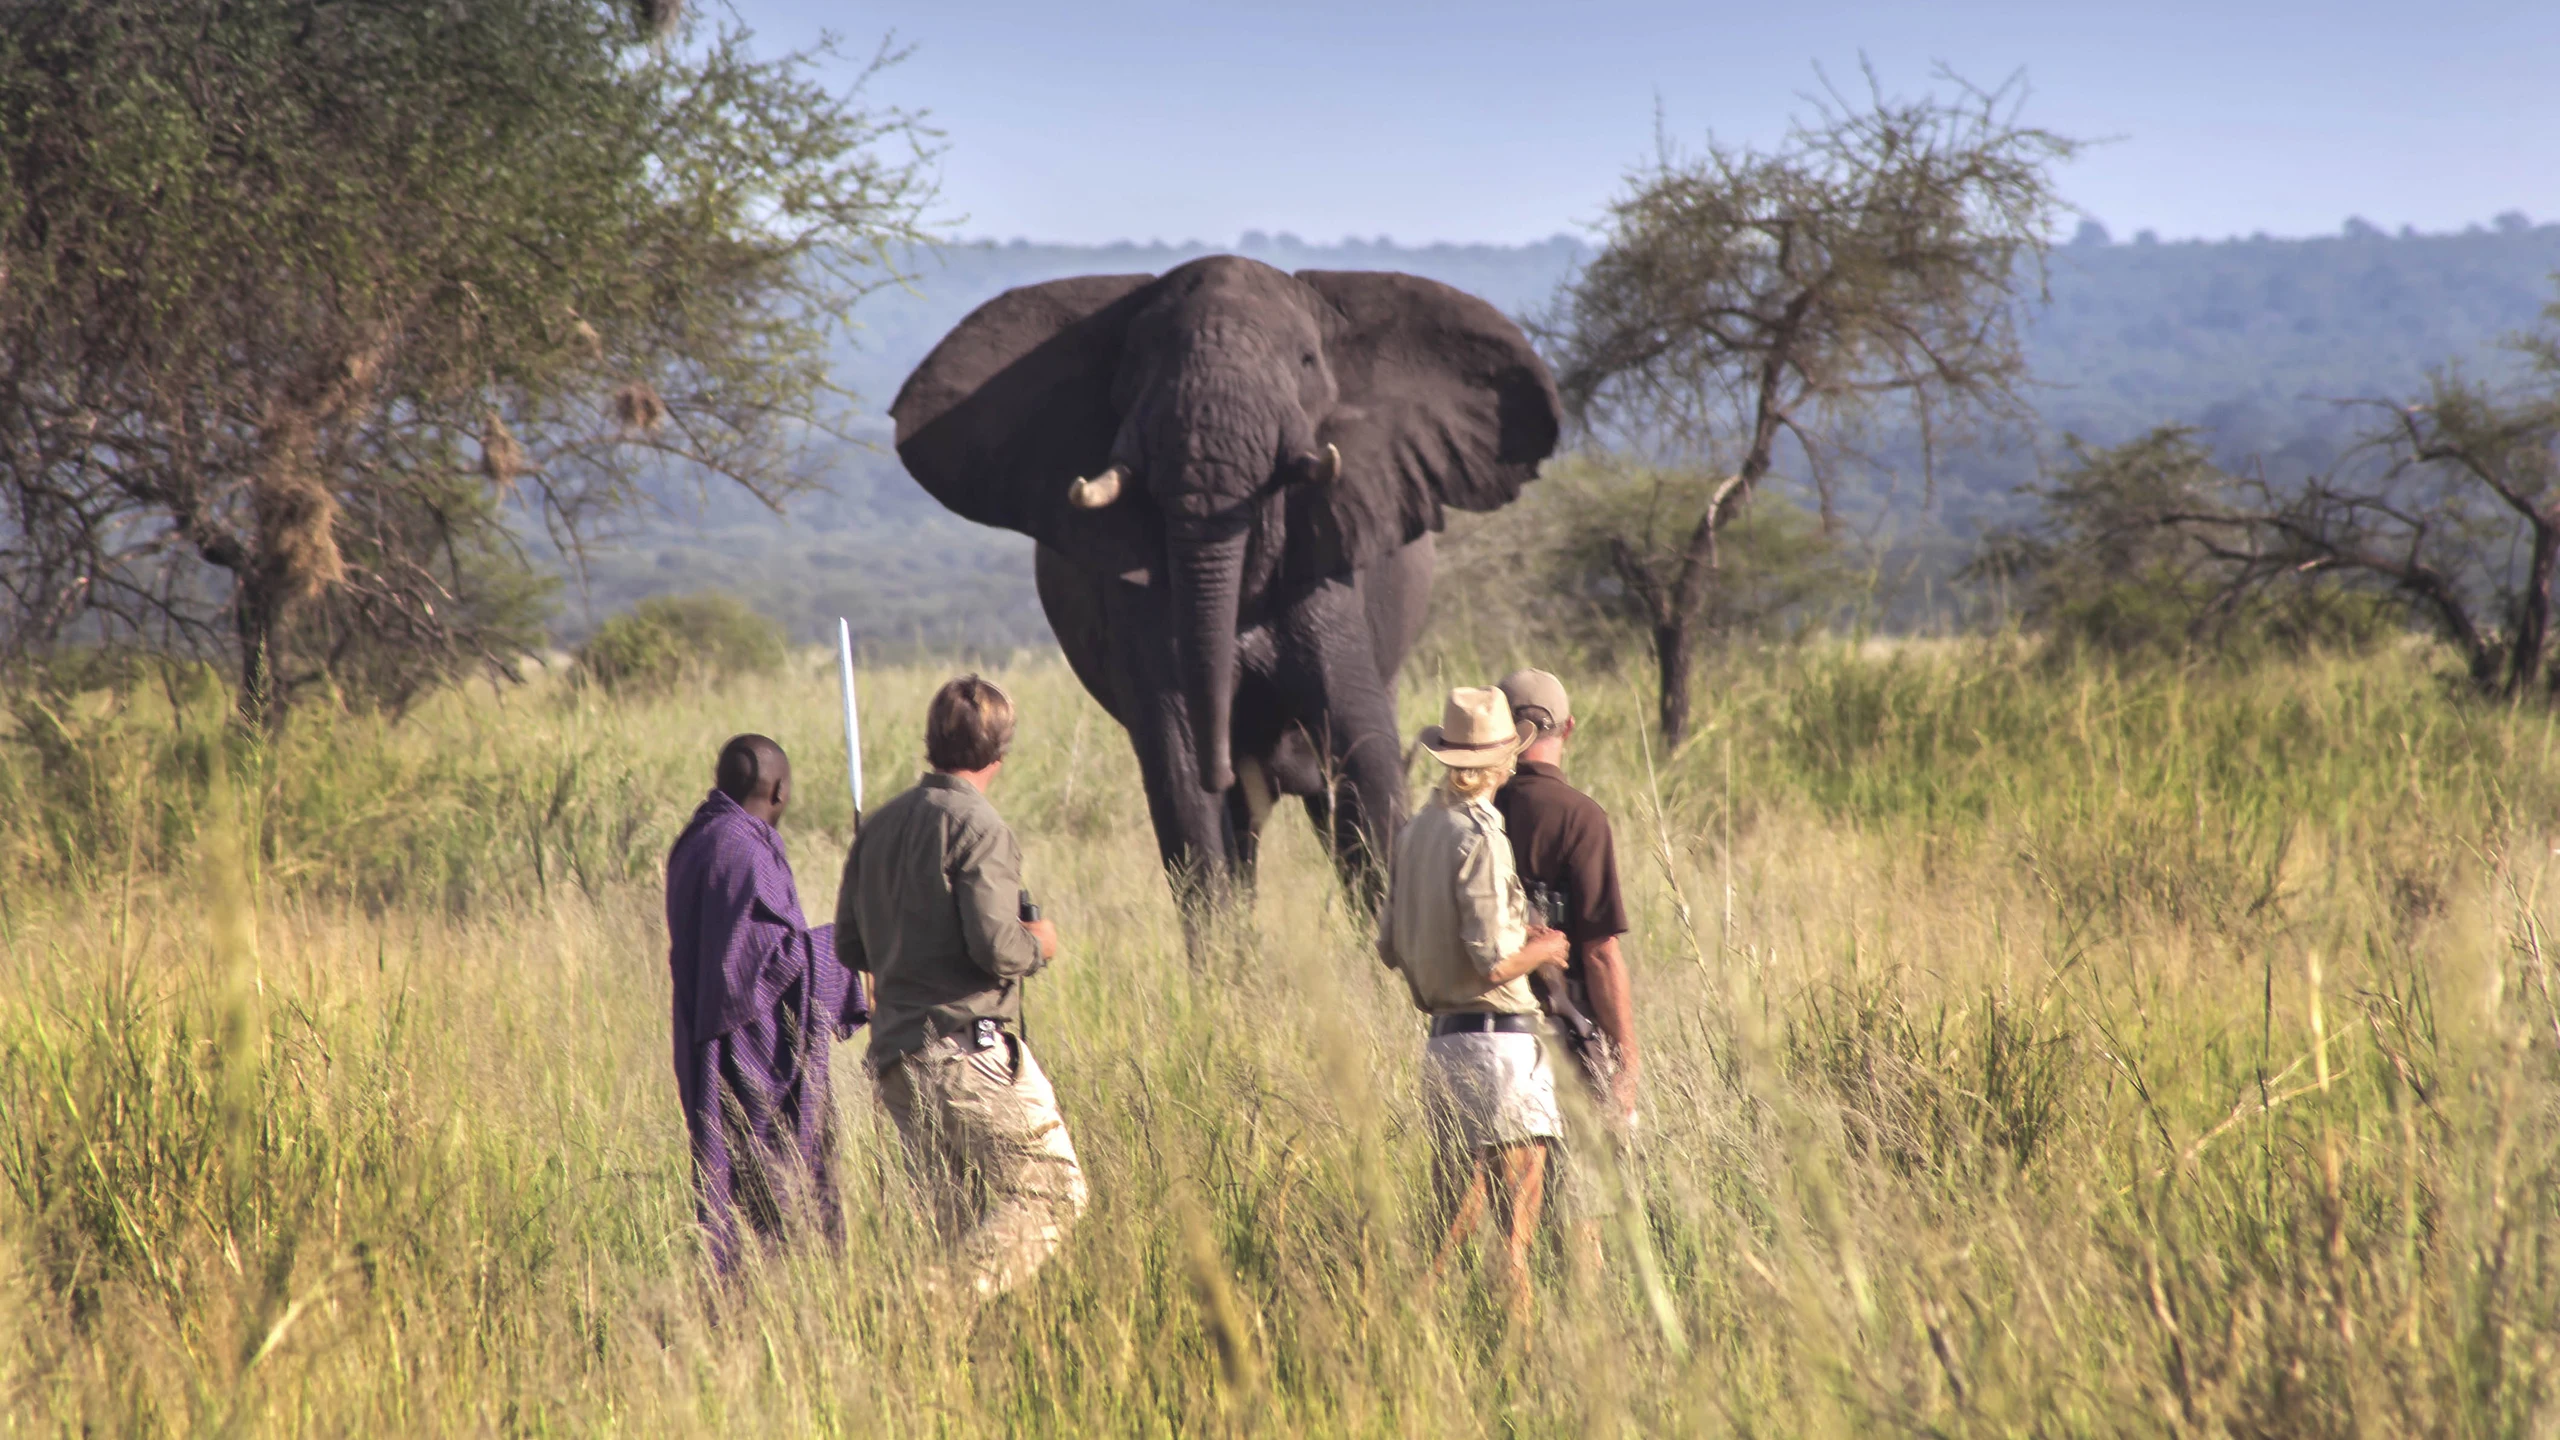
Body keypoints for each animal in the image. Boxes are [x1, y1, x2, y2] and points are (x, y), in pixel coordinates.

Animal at [890, 255, 1560, 914]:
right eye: (1134, 369)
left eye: (1307, 361)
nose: (1227, 769)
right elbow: (1182, 778)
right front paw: (1225, 949)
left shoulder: (1331, 572)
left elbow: (1362, 753)